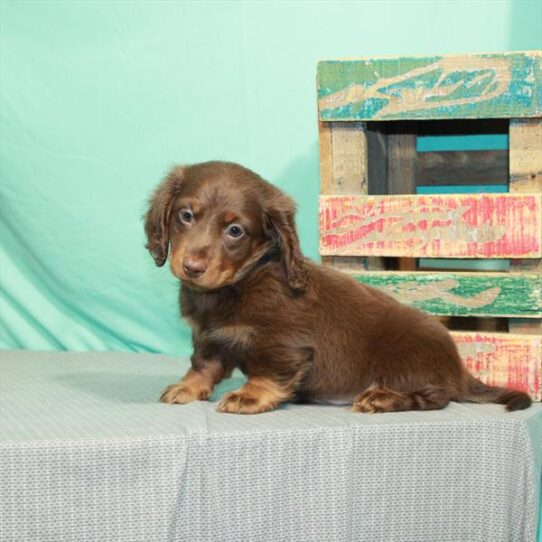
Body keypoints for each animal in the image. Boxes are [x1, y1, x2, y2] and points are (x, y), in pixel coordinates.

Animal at [144, 162, 532, 416]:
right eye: (185, 215)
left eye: (235, 230)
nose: (192, 268)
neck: (239, 283)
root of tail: (460, 370)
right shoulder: (208, 338)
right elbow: (204, 365)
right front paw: (188, 387)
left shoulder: (283, 343)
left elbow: (269, 372)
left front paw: (250, 396)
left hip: (410, 364)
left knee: (435, 399)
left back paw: (383, 398)